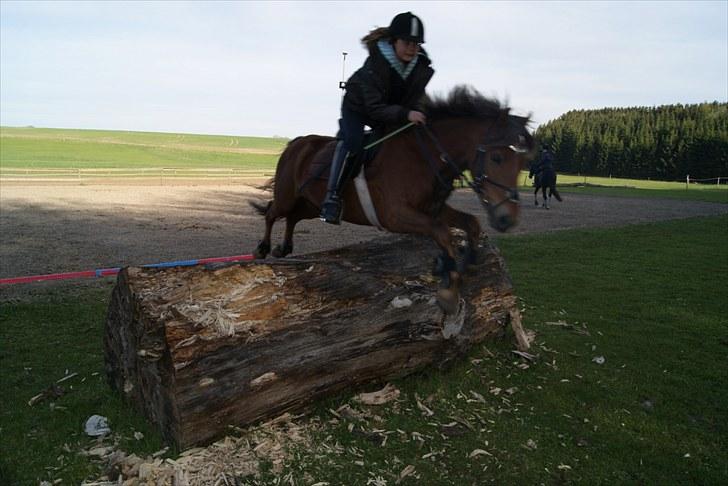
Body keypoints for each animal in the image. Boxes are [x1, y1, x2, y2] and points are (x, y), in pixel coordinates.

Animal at [250, 86, 536, 314]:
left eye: (523, 161)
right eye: (497, 158)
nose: (507, 219)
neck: (423, 156)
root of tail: (297, 142)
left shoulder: (433, 208)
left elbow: (471, 224)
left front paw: (463, 263)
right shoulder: (395, 214)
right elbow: (442, 232)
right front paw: (449, 285)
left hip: (311, 204)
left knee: (293, 217)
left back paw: (284, 248)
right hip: (288, 195)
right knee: (273, 212)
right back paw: (263, 248)